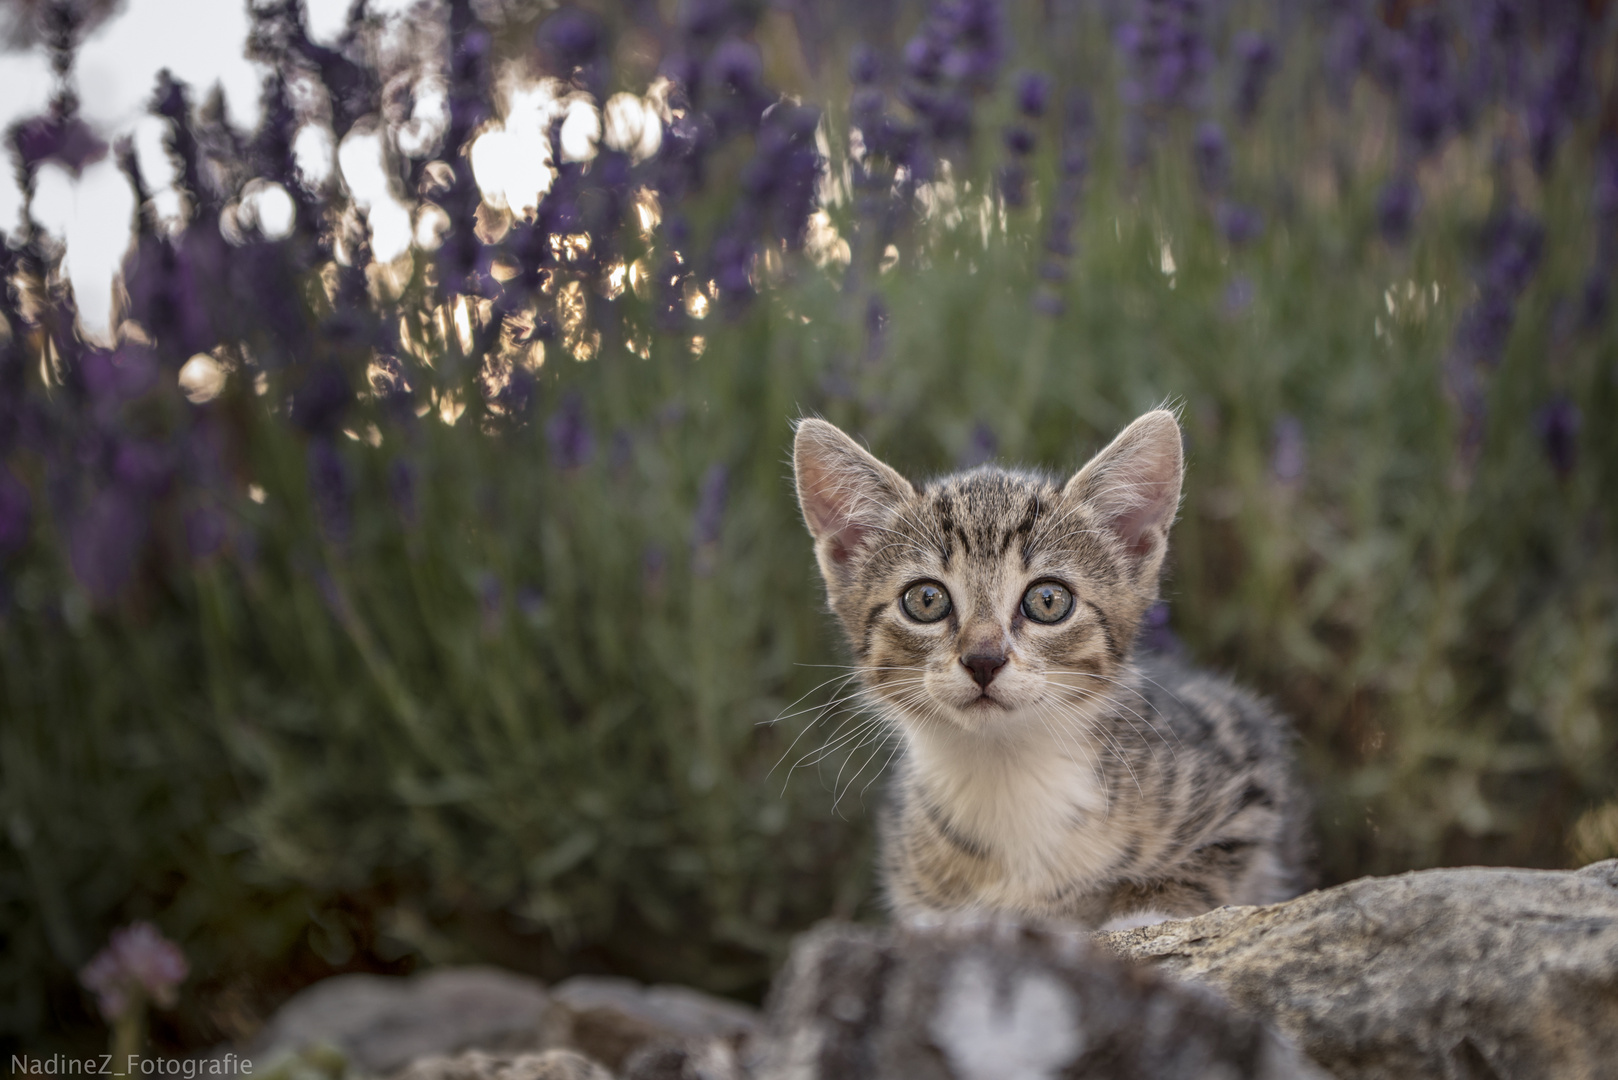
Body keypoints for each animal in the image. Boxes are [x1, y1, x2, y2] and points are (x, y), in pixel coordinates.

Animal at [789, 408, 1307, 932]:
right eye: (926, 600)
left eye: (1048, 600)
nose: (984, 660)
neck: (1005, 774)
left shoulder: (1247, 774)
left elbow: (1204, 867)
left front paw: (1141, 912)